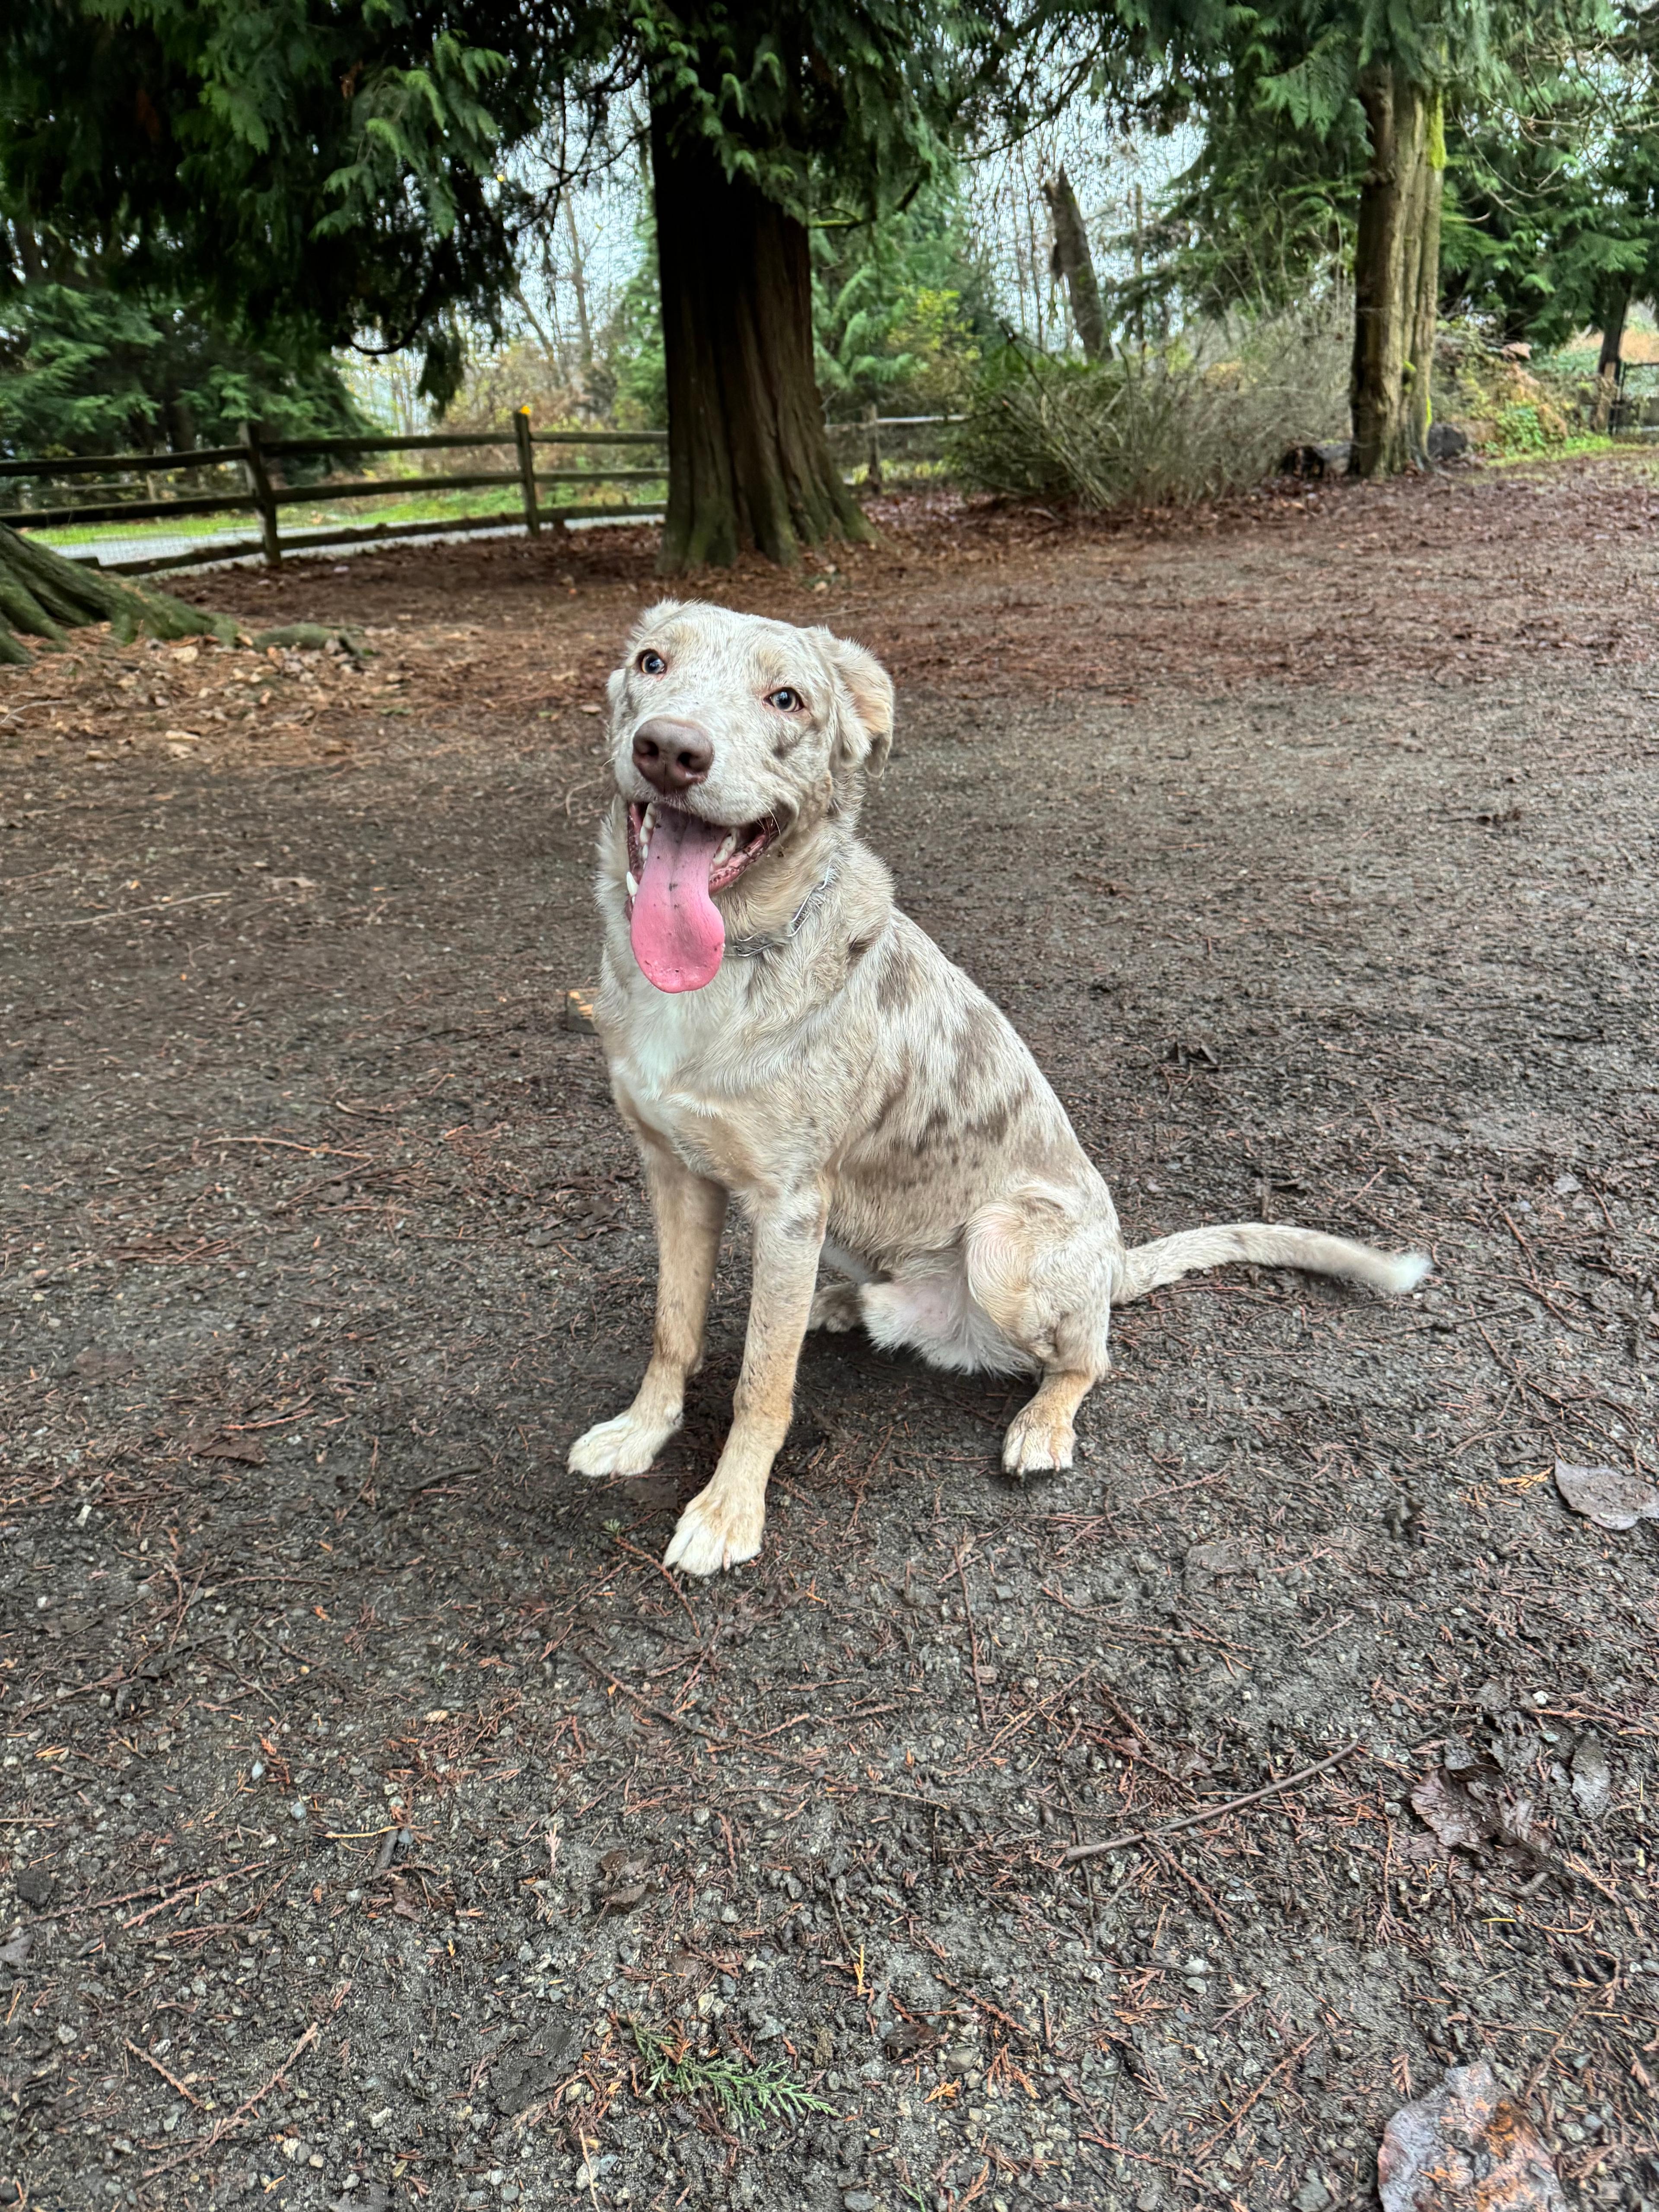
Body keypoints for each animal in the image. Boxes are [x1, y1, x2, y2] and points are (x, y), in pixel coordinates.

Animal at [570, 601, 1433, 1575]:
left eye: (786, 697)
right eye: (652, 662)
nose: (669, 750)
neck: (725, 971)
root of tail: (1115, 1261)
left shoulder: (789, 1206)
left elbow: (763, 1379)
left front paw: (728, 1512)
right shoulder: (675, 1173)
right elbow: (673, 1329)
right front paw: (641, 1433)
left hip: (999, 1244)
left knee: (1088, 1358)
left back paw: (1042, 1423)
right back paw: (845, 1305)